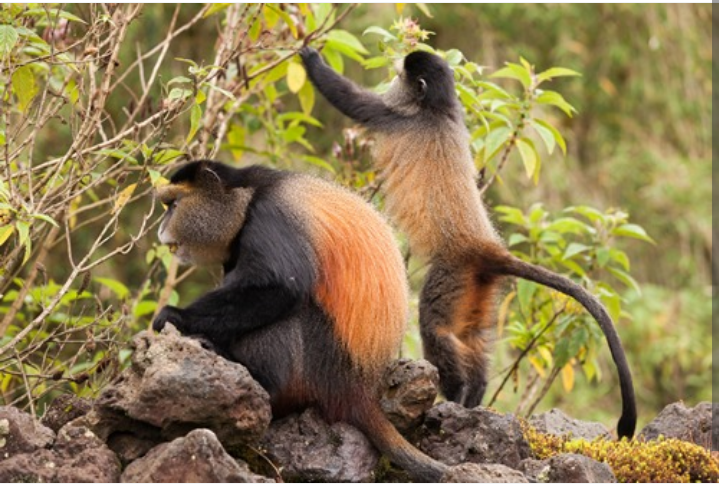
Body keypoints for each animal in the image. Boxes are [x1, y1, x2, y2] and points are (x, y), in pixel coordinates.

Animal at [152, 160, 449, 481]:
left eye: (174, 205)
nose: (160, 229)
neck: (248, 196)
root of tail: (360, 389)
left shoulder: (270, 217)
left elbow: (281, 287)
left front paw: (175, 316)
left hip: (323, 367)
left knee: (291, 312)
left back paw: (262, 385)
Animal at [300, 47, 637, 439]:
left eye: (401, 77)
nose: (395, 79)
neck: (439, 109)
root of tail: (484, 247)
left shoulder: (395, 115)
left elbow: (351, 100)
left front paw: (311, 58)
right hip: (479, 285)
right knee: (472, 336)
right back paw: (473, 394)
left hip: (452, 274)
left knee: (436, 327)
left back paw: (457, 391)